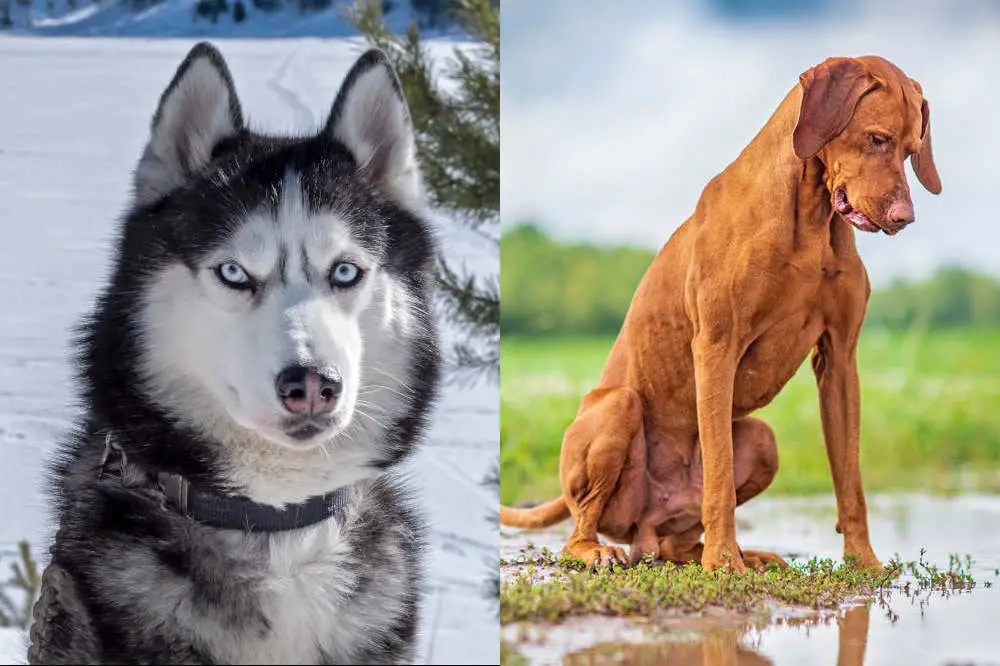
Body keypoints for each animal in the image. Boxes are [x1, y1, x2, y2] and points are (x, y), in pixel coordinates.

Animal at [504, 54, 940, 568]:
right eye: (877, 139)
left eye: (912, 151)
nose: (904, 219)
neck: (809, 219)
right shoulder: (715, 346)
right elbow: (719, 474)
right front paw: (722, 563)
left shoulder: (839, 361)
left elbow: (849, 479)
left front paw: (864, 562)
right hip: (617, 408)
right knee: (579, 530)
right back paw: (605, 551)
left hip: (761, 442)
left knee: (675, 543)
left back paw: (745, 555)